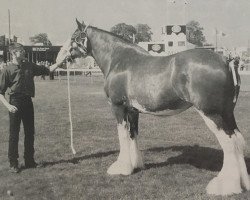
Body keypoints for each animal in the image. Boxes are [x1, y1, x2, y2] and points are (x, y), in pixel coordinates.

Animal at [56, 19, 250, 195]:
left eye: (73, 37)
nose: (59, 58)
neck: (118, 59)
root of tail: (226, 60)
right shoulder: (133, 110)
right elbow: (133, 135)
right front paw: (135, 165)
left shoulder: (118, 108)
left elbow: (122, 136)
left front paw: (121, 168)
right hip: (227, 113)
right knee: (238, 140)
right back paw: (243, 183)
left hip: (212, 114)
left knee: (229, 143)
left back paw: (225, 187)